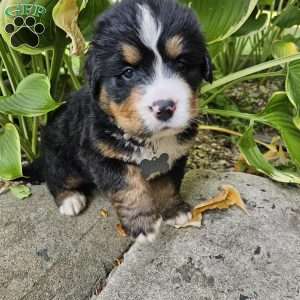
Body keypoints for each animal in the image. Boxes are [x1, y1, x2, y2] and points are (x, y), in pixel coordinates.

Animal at [27, 0, 213, 240]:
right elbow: (129, 188)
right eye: (128, 72)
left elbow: (168, 184)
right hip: (60, 157)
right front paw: (143, 224)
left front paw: (174, 210)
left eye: (181, 64)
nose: (164, 107)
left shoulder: (176, 154)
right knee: (55, 177)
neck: (151, 139)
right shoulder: (102, 156)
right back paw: (70, 199)